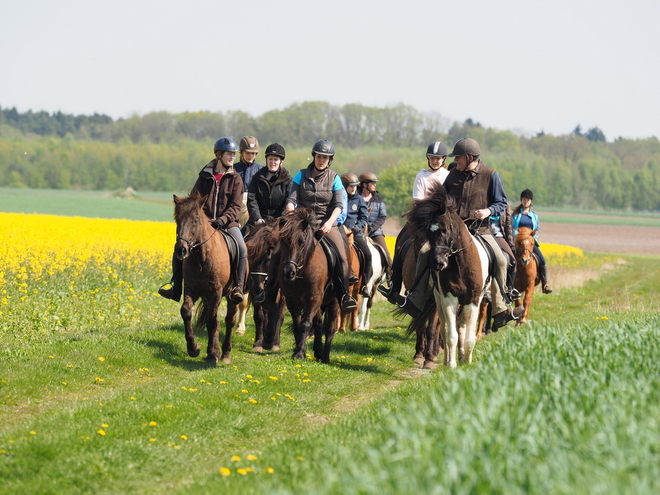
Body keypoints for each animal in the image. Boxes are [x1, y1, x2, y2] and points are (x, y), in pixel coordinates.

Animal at [173, 192, 240, 366]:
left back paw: (225, 353)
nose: (181, 250)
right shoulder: (191, 289)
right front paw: (193, 348)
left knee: (229, 320)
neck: (201, 257)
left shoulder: (216, 292)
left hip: (231, 296)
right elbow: (186, 312)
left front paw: (211, 355)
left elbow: (211, 322)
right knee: (216, 320)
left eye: (195, 220)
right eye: (178, 219)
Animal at [242, 220, 284, 352]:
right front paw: (258, 343)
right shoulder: (254, 292)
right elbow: (259, 316)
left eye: (269, 259)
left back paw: (275, 343)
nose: (258, 288)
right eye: (250, 258)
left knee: (280, 315)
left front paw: (270, 340)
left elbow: (275, 312)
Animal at [274, 207, 340, 362]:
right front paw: (300, 351)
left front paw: (299, 354)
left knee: (329, 328)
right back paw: (318, 351)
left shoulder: (314, 298)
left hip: (333, 301)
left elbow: (305, 323)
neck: (303, 272)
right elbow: (298, 324)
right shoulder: (292, 300)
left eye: (302, 242)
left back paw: (325, 357)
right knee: (318, 323)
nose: (289, 273)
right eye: (284, 241)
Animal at [404, 185, 492, 368]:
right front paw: (451, 364)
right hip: (439, 300)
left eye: (445, 229)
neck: (461, 264)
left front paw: (467, 362)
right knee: (444, 329)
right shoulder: (448, 298)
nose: (437, 263)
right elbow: (451, 335)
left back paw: (463, 356)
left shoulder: (473, 300)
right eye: (429, 233)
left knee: (462, 328)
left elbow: (469, 337)